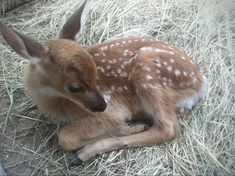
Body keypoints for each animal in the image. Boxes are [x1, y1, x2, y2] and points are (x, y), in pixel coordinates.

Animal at [1, 0, 207, 165]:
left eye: (95, 75)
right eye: (74, 87)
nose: (102, 105)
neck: (53, 101)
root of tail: (201, 82)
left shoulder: (115, 109)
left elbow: (65, 137)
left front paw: (125, 127)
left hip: (147, 73)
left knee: (168, 128)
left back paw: (85, 153)